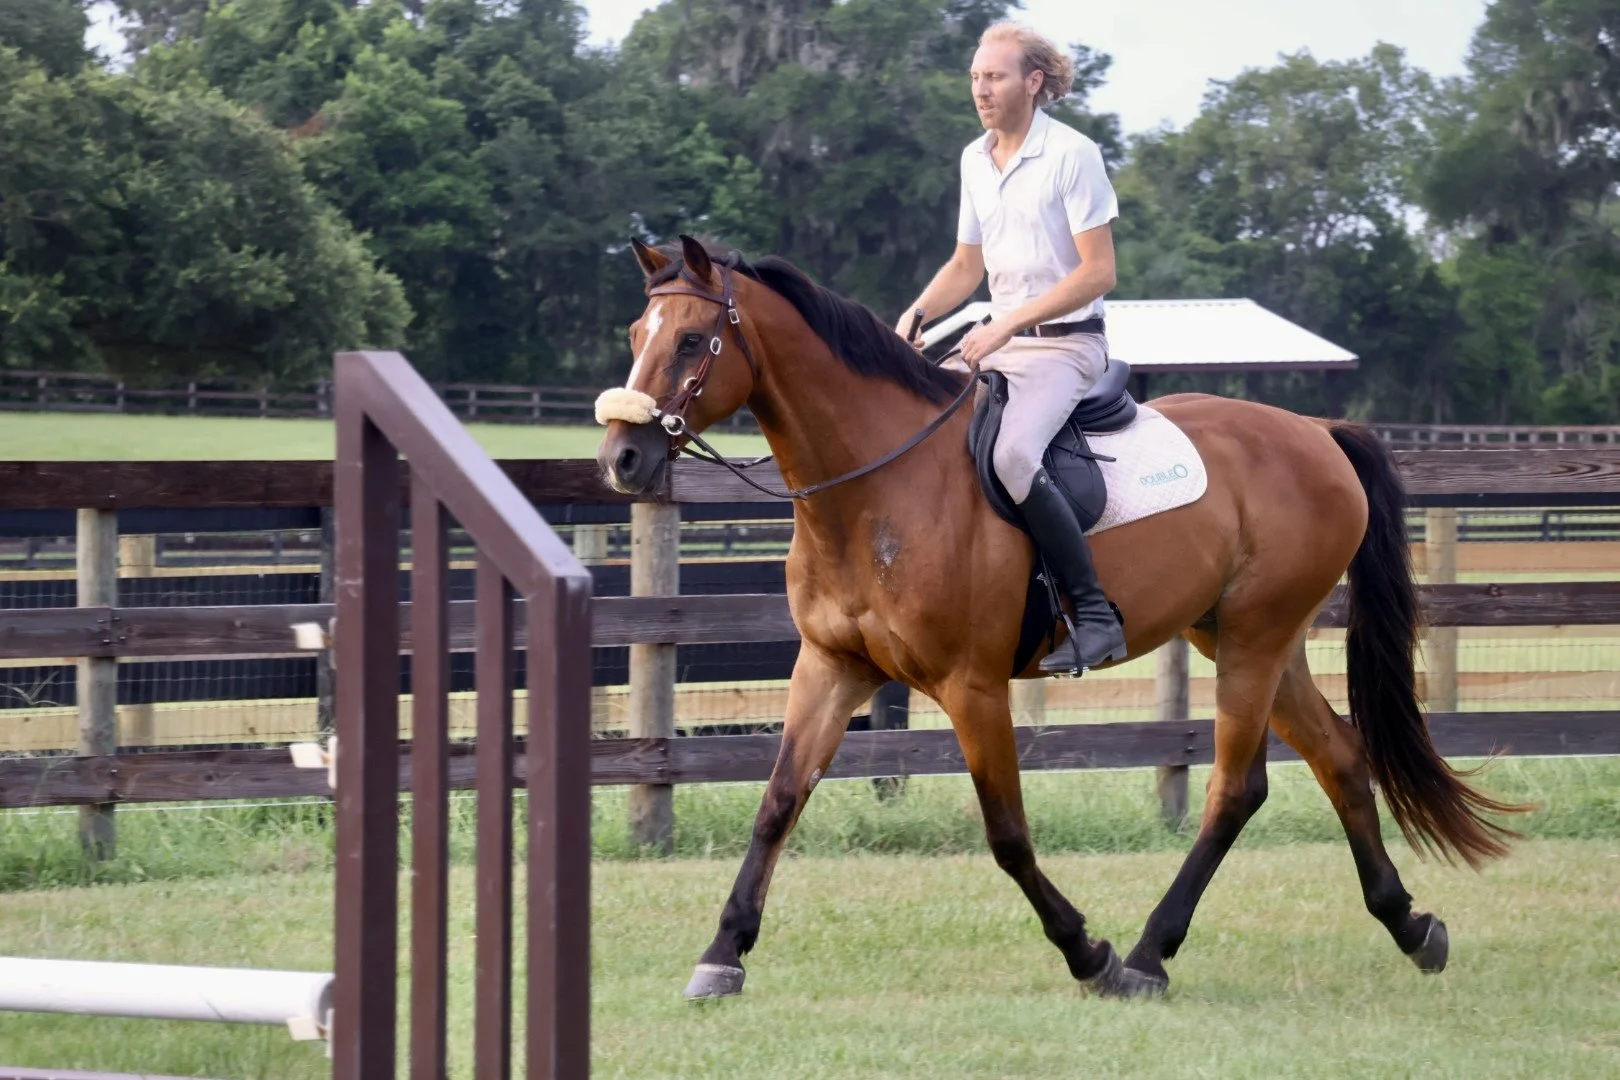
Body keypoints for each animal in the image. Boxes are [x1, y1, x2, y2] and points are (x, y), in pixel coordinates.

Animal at [594, 234, 1527, 1000]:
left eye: (690, 341)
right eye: (636, 336)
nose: (622, 459)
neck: (877, 488)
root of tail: (1317, 432)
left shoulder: (970, 686)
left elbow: (1007, 834)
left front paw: (1089, 953)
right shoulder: (832, 666)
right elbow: (779, 801)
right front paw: (722, 954)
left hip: (1256, 640)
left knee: (1235, 788)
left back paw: (1148, 956)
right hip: (1245, 635)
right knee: (1338, 757)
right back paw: (1411, 925)